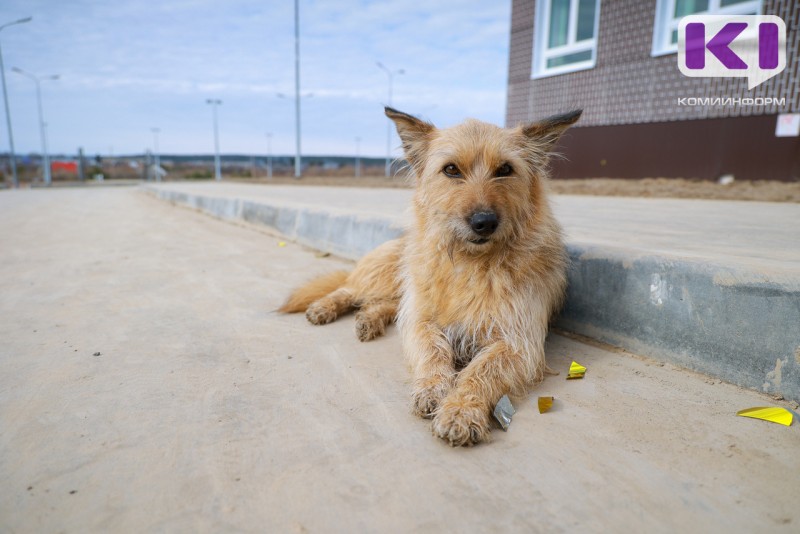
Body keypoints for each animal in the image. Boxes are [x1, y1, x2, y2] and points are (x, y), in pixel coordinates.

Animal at [282, 107, 580, 446]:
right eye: (451, 169)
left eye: (505, 169)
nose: (484, 222)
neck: (471, 263)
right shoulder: (422, 320)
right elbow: (433, 350)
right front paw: (433, 388)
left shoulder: (518, 342)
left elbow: (481, 371)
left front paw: (461, 409)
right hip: (389, 271)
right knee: (351, 289)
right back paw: (325, 307)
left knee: (385, 305)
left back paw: (369, 319)